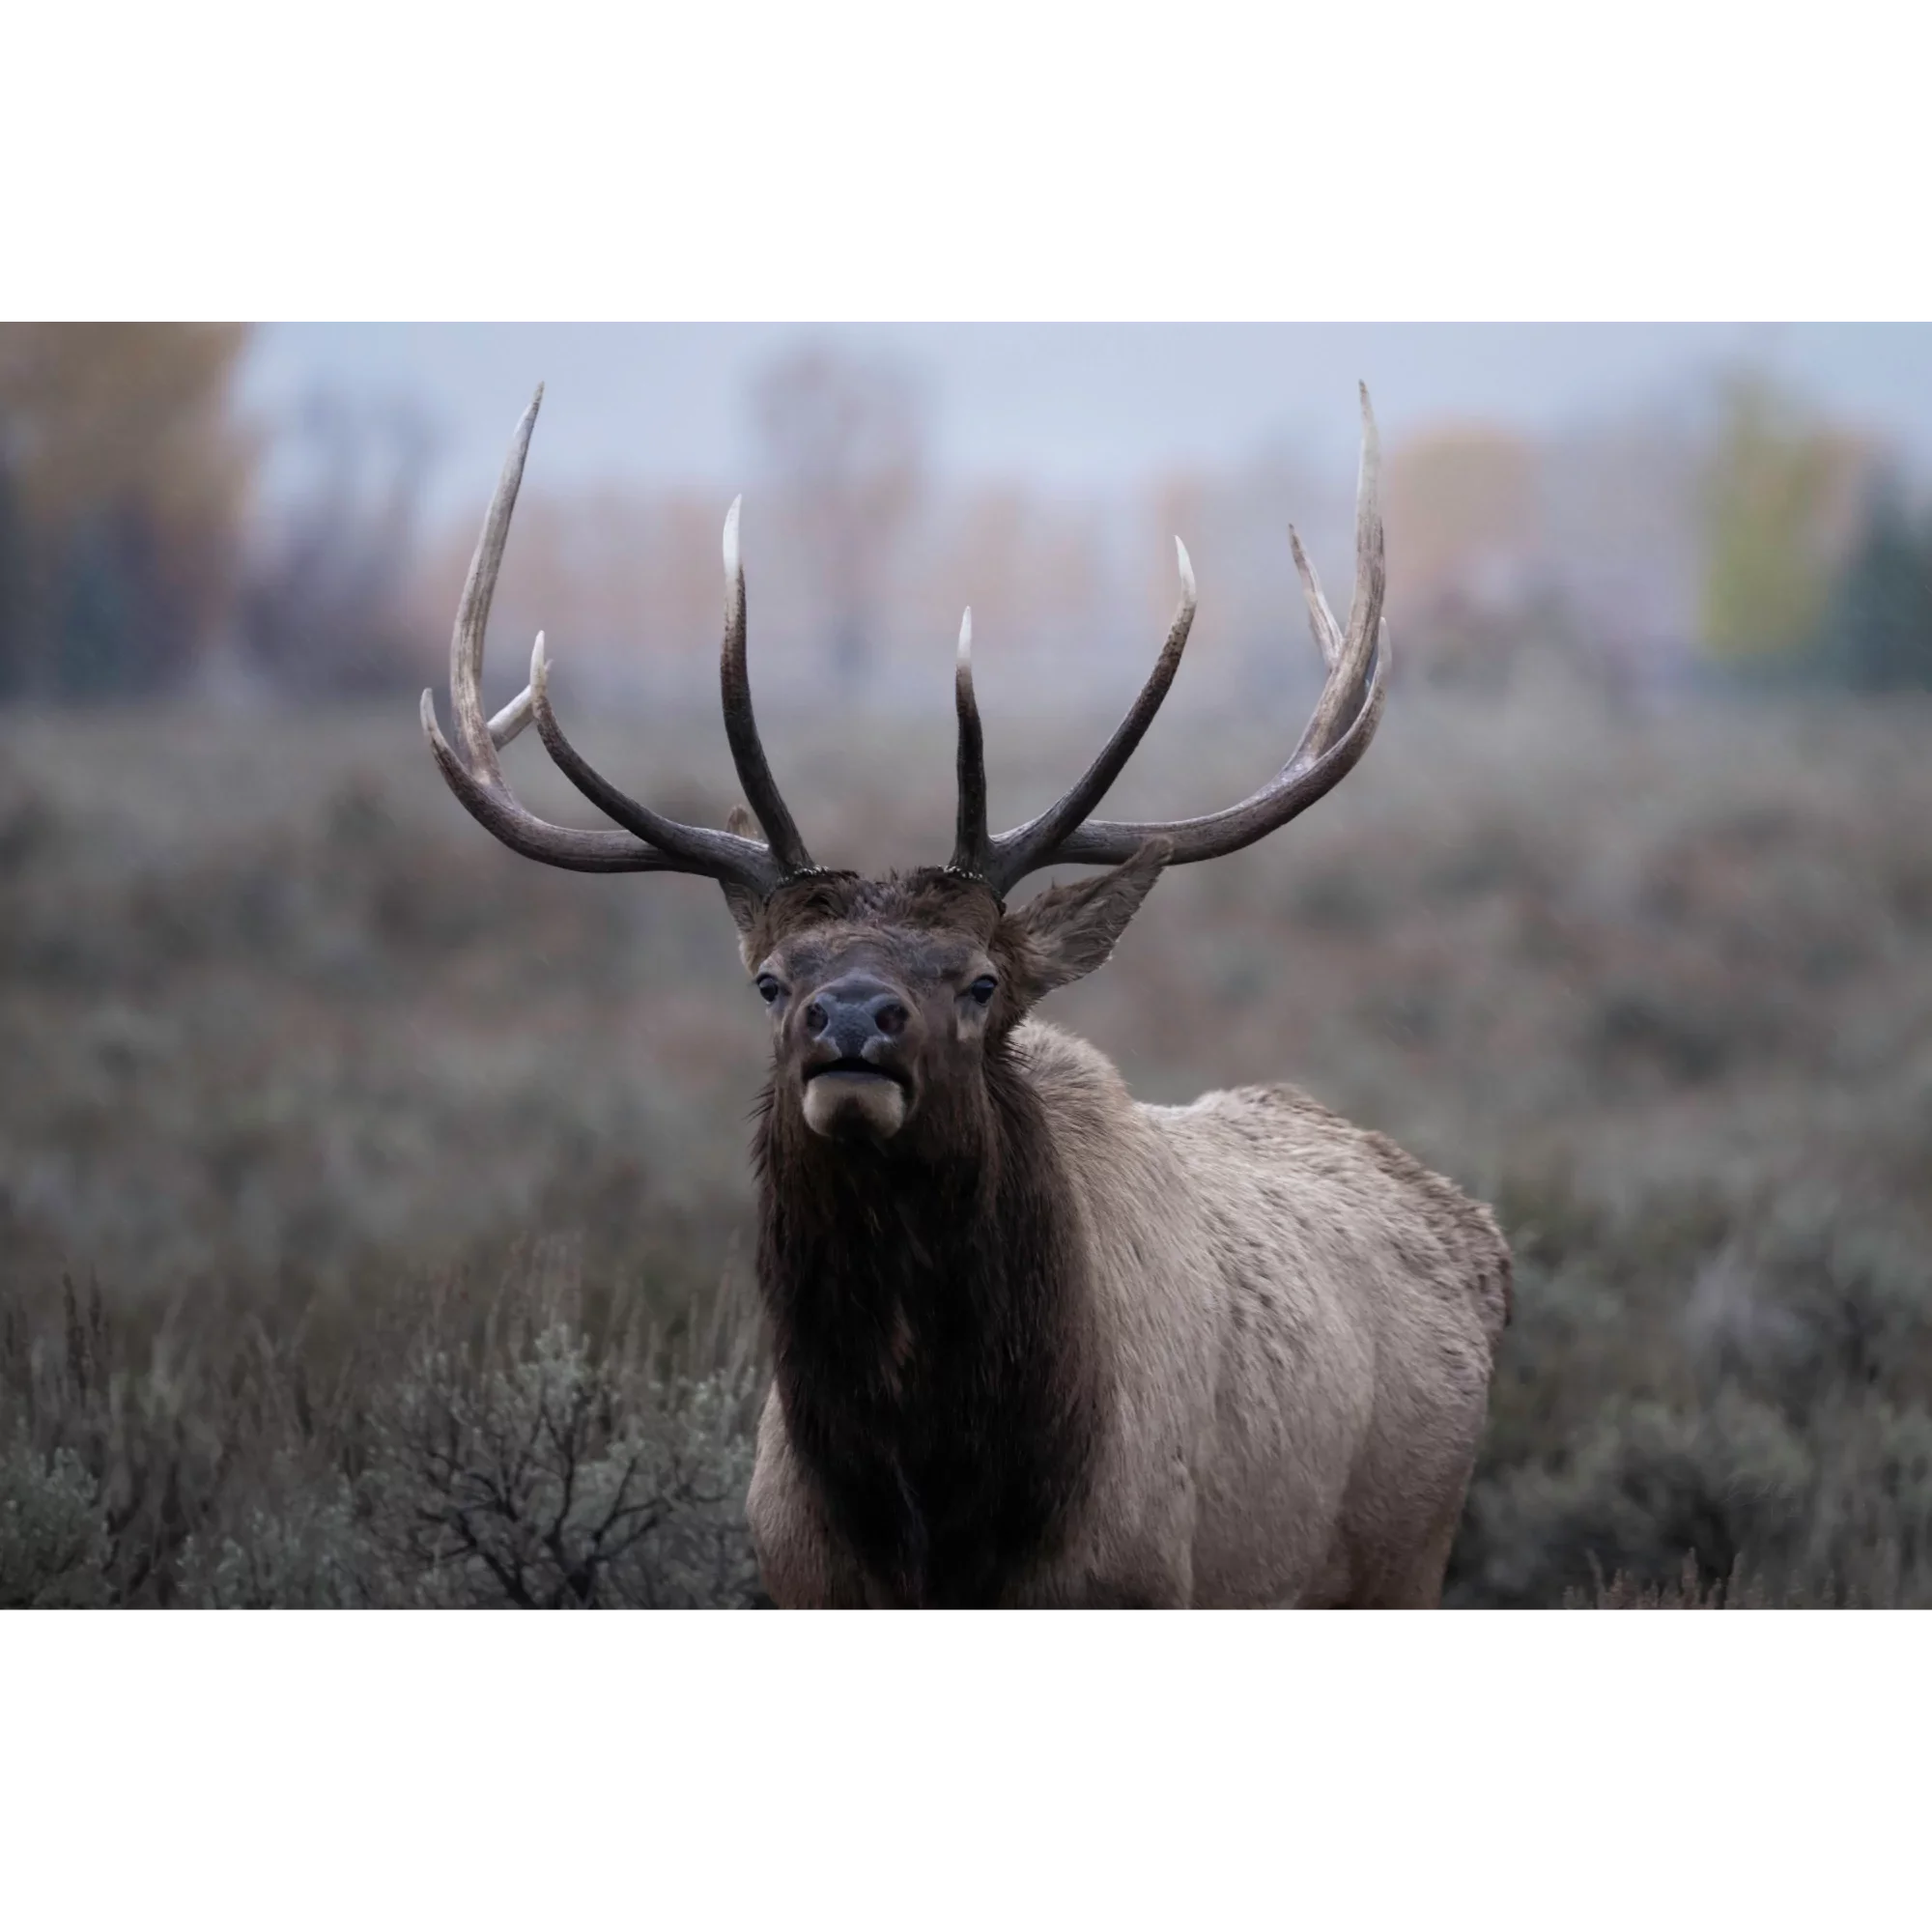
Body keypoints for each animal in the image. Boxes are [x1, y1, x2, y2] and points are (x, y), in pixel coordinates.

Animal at [421, 383, 1511, 1614]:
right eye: (770, 979)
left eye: (982, 980)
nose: (852, 1019)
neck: (937, 1519)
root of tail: (1481, 1236)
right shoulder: (799, 1579)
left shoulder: (1134, 1581)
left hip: (1406, 1551)